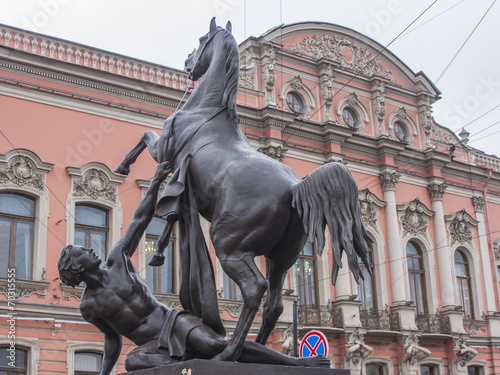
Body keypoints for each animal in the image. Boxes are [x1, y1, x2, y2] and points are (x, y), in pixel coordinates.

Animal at [115, 18, 370, 364]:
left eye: (201, 39)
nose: (187, 63)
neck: (208, 109)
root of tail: (295, 188)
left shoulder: (163, 150)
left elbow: (145, 135)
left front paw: (124, 165)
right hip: (281, 257)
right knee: (274, 304)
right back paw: (258, 351)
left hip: (228, 245)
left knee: (254, 289)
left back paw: (228, 353)